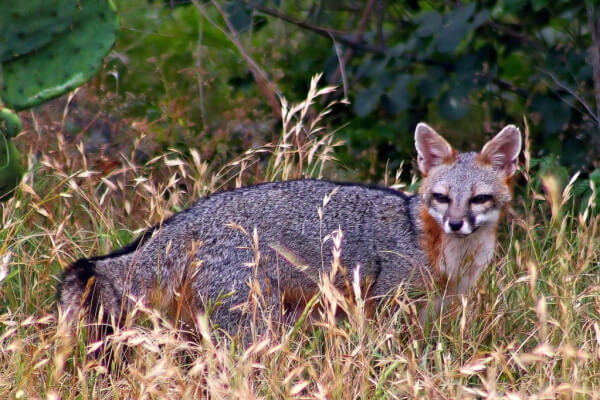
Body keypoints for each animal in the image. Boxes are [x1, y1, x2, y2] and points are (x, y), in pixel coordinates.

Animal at [59, 123, 520, 336]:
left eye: (478, 199)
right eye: (441, 198)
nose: (457, 223)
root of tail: (189, 216)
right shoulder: (386, 308)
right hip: (254, 324)